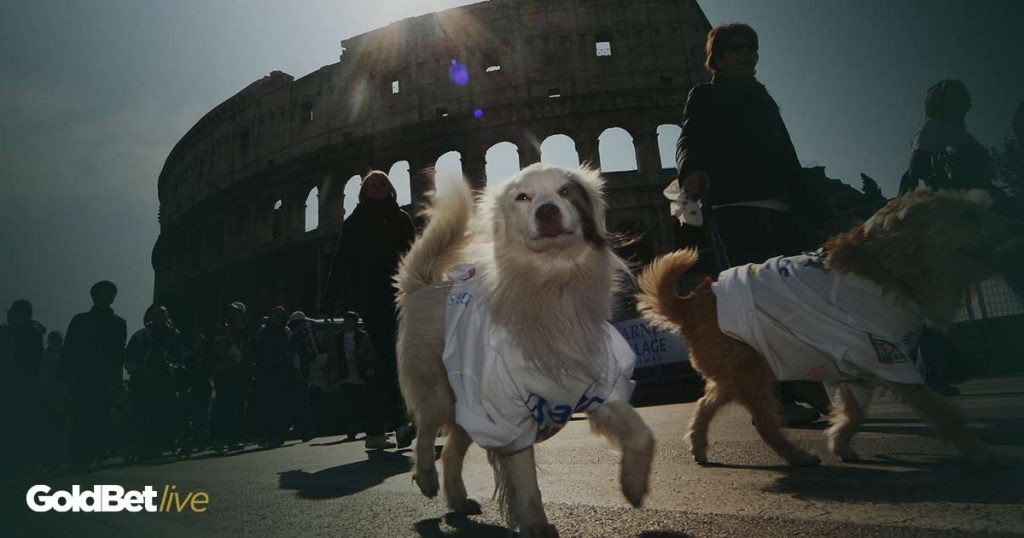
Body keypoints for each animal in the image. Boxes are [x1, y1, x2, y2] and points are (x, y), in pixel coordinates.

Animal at [395, 163, 651, 536]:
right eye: (523, 197)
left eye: (565, 191)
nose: (547, 211)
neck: (553, 287)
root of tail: (425, 286)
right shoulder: (507, 413)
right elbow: (526, 479)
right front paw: (536, 526)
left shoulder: (597, 387)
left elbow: (642, 434)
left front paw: (633, 485)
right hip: (440, 394)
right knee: (425, 434)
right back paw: (426, 477)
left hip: (467, 407)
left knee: (453, 452)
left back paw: (458, 500)